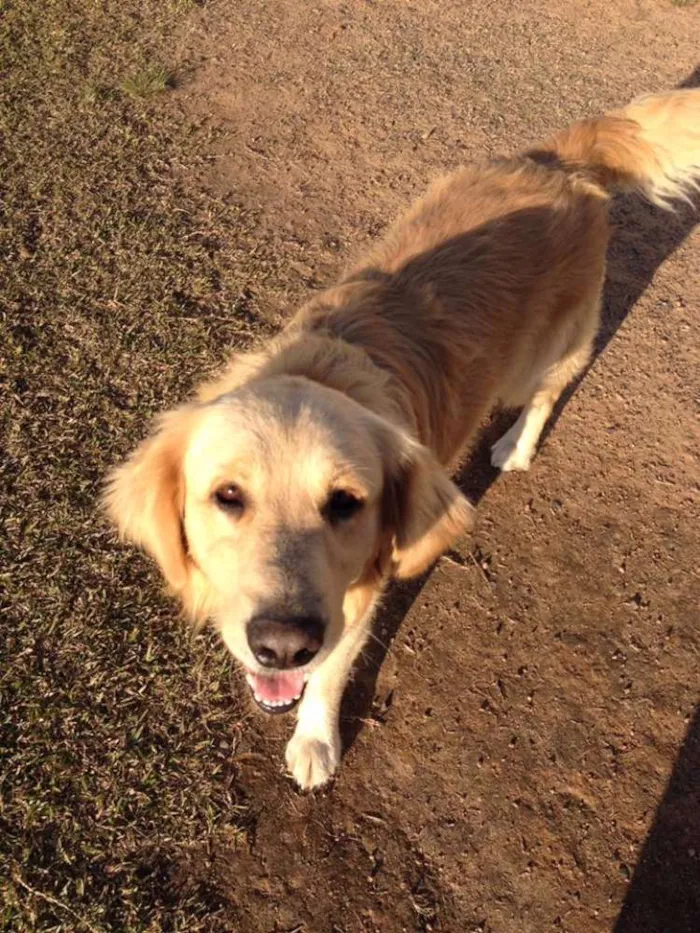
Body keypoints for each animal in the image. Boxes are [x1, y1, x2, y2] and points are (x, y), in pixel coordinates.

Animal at [104, 89, 700, 788]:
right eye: (227, 497)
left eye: (346, 504)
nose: (283, 645)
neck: (319, 368)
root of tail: (558, 160)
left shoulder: (356, 601)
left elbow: (329, 676)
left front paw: (315, 741)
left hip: (547, 352)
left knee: (547, 392)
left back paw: (514, 448)